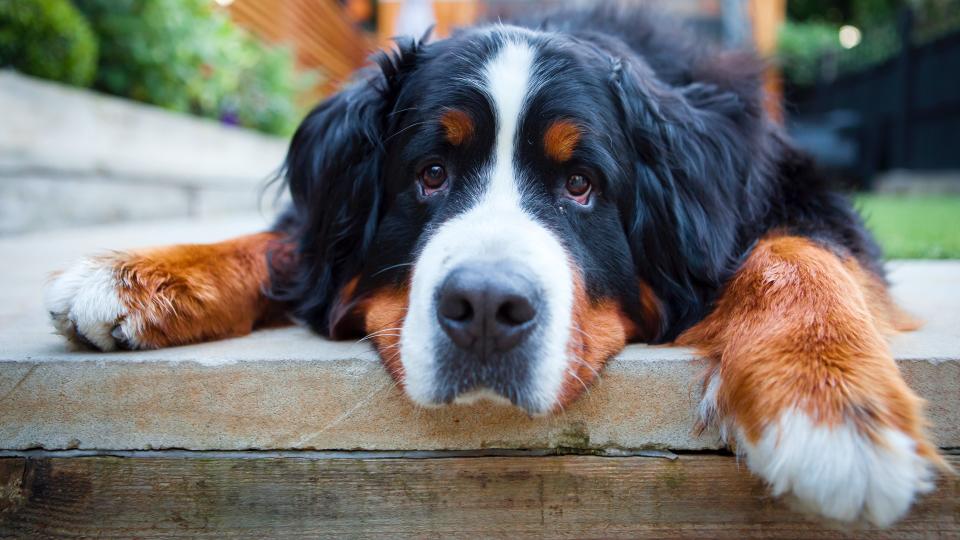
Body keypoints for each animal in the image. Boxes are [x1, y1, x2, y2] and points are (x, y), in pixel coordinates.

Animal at [45, 4, 944, 528]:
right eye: (430, 174)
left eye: (582, 185)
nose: (484, 307)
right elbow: (284, 243)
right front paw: (138, 276)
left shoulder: (795, 195)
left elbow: (796, 252)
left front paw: (829, 407)